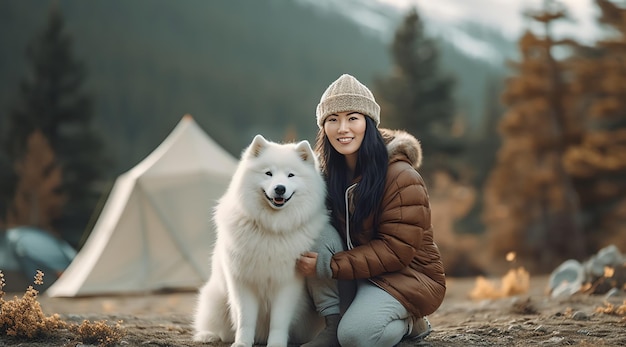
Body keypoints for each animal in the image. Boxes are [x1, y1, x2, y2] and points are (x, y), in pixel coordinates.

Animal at [193, 135, 324, 347]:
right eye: (268, 173)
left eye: (291, 175)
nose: (280, 188)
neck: (272, 228)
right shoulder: (242, 281)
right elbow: (245, 319)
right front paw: (242, 343)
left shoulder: (287, 284)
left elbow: (279, 321)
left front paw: (276, 344)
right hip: (215, 299)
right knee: (217, 327)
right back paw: (208, 335)